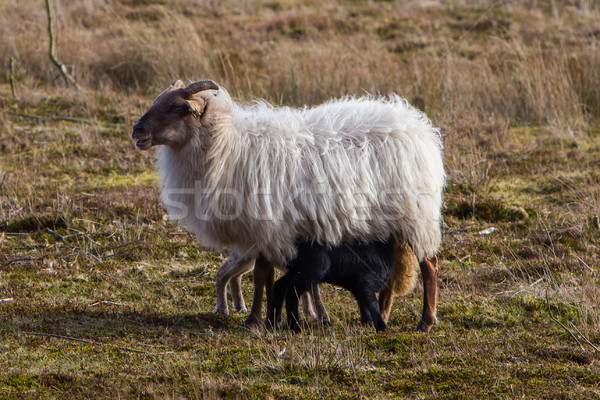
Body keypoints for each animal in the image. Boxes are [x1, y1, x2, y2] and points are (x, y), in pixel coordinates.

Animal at [268, 236, 398, 332]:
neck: (383, 251)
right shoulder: (365, 280)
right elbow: (372, 302)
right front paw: (381, 327)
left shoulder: (357, 286)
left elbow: (363, 303)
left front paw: (368, 323)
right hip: (313, 269)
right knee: (291, 290)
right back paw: (295, 326)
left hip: (296, 269)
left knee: (279, 286)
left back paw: (274, 324)